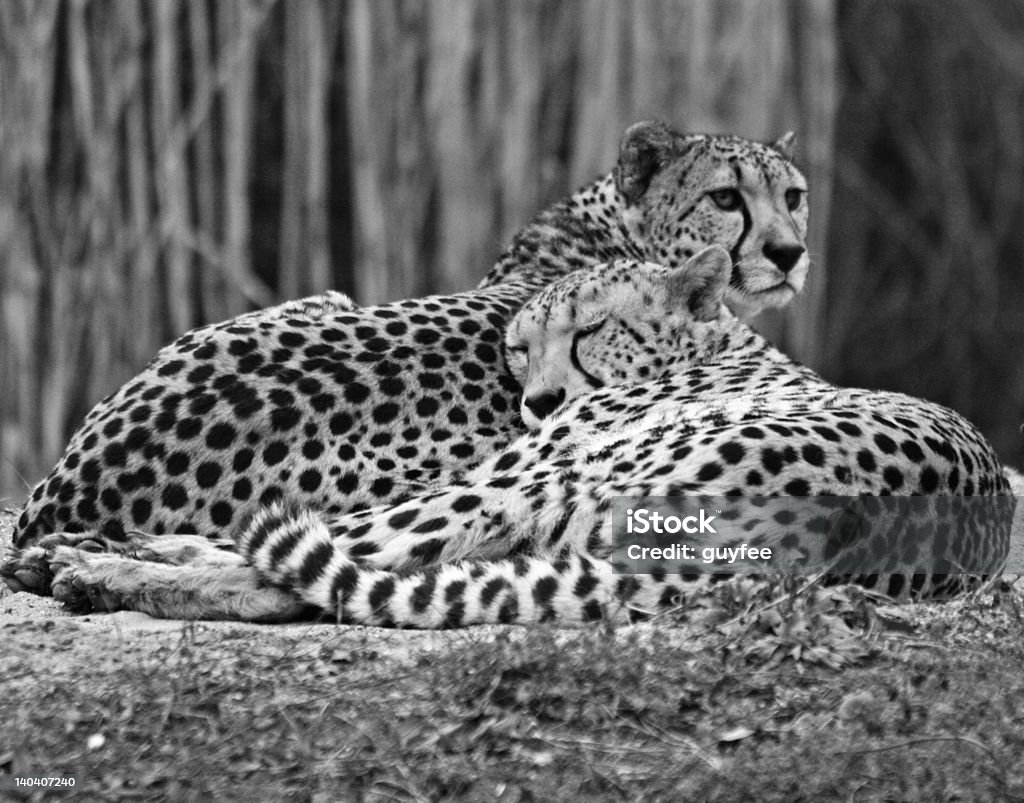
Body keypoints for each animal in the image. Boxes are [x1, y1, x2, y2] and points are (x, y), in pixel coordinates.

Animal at [28, 247, 1011, 622]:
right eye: (516, 346)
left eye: (589, 331)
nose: (536, 400)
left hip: (527, 483)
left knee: (308, 569)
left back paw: (92, 565)